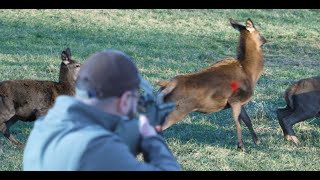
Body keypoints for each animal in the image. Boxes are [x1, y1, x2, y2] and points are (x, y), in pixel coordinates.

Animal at [156, 18, 266, 151]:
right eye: (258, 32)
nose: (265, 40)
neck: (250, 71)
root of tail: (168, 84)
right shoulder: (235, 99)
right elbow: (238, 123)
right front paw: (241, 146)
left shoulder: (241, 102)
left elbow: (247, 120)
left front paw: (257, 141)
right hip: (177, 110)